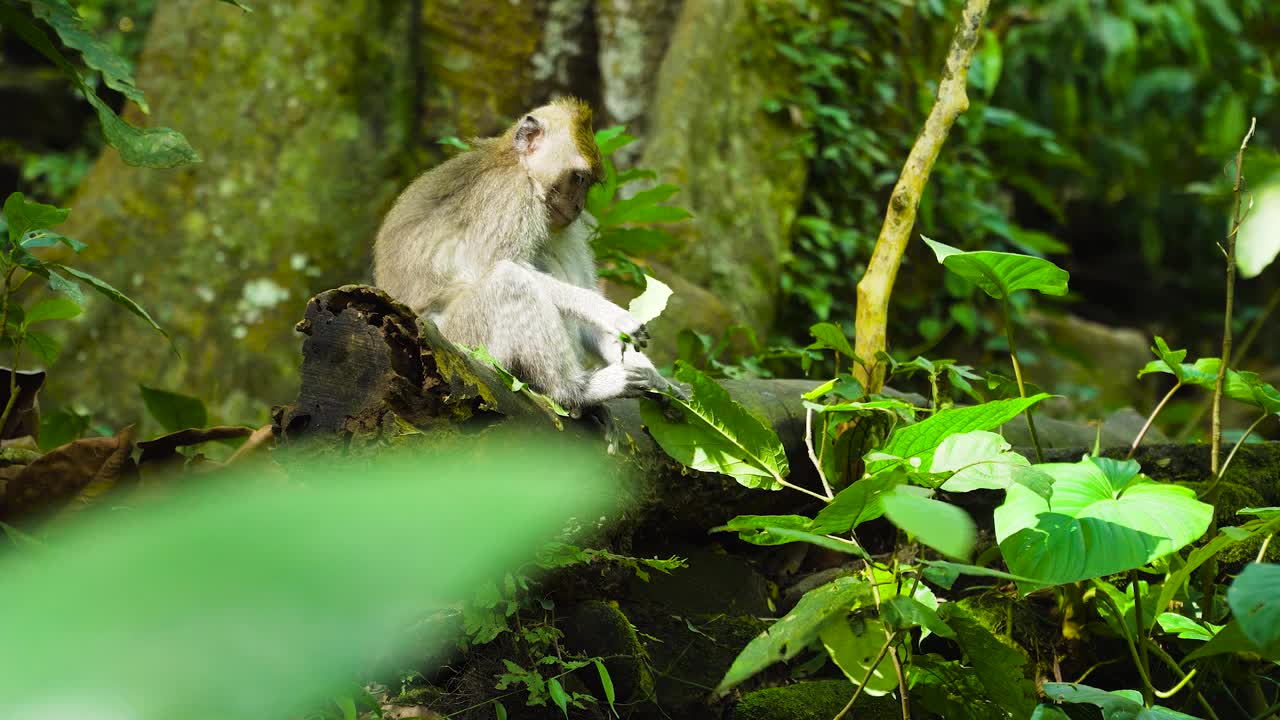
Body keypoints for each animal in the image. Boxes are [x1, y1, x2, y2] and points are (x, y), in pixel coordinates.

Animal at [371, 96, 680, 412]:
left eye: (588, 183)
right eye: (579, 178)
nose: (579, 205)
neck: (516, 164)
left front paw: (652, 373)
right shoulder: (507, 196)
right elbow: (500, 264)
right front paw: (608, 313)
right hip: (464, 340)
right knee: (510, 280)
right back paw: (573, 390)